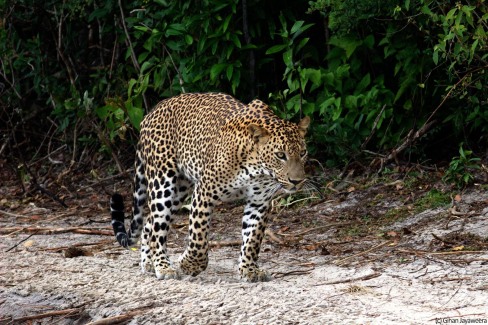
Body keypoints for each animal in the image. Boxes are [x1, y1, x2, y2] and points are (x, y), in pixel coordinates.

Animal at [109, 91, 312, 280]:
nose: (297, 181)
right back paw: (163, 266)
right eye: (280, 155)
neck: (258, 170)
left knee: (149, 224)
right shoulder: (204, 192)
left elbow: (252, 239)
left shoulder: (258, 202)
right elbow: (198, 235)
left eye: (303, 153)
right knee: (157, 228)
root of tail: (151, 113)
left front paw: (249, 269)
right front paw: (190, 264)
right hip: (163, 183)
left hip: (180, 191)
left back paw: (149, 263)